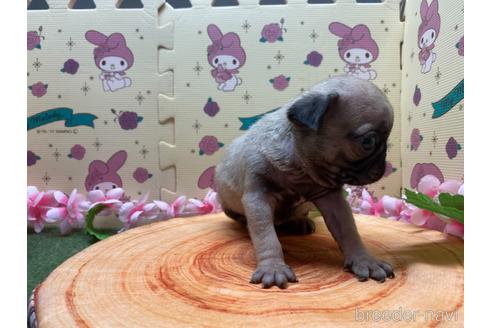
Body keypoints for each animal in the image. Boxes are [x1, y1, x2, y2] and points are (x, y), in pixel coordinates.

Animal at [215, 75, 396, 288]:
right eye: (368, 142)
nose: (382, 166)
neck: (300, 166)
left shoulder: (331, 198)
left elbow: (348, 230)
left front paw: (364, 260)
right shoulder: (257, 198)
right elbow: (266, 236)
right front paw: (273, 268)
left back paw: (299, 222)